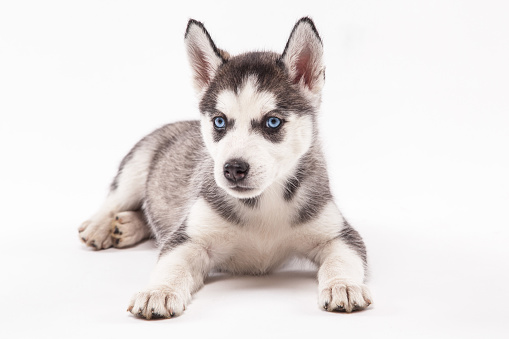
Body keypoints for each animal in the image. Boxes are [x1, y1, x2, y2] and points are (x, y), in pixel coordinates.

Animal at [80, 17, 374, 320]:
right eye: (219, 122)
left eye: (273, 122)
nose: (233, 169)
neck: (264, 203)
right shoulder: (190, 237)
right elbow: (172, 263)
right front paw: (158, 291)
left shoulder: (338, 235)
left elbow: (342, 260)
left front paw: (344, 285)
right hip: (138, 164)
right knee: (116, 198)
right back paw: (100, 226)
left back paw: (126, 226)